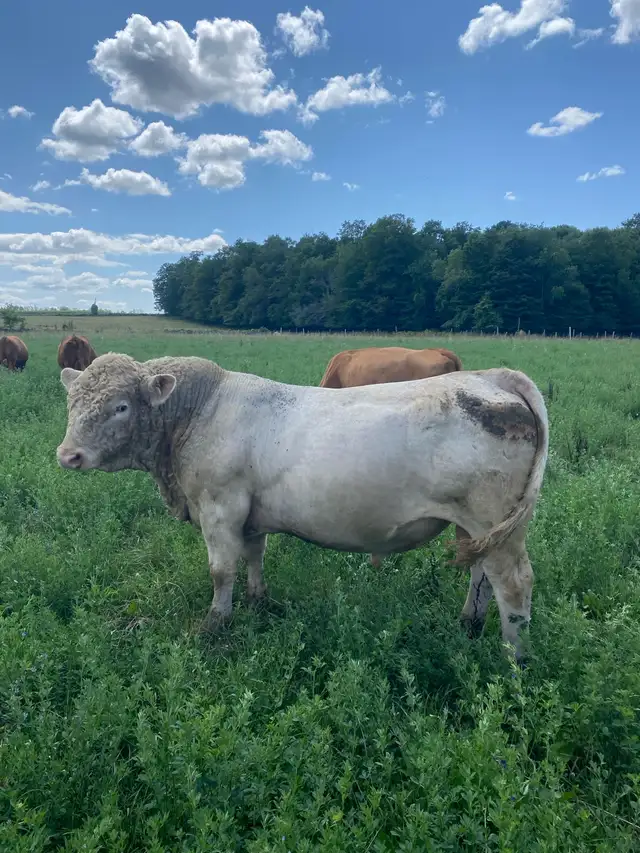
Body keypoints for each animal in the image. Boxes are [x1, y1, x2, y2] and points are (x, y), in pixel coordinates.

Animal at [57, 353, 548, 662]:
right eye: (72, 402)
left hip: (495, 521)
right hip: (479, 528)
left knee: (513, 584)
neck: (197, 413)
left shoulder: (219, 507)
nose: (68, 455)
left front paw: (215, 623)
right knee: (480, 573)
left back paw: (514, 660)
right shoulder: (250, 515)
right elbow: (254, 556)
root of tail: (492, 376)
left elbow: (221, 570)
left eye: (121, 406)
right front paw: (257, 601)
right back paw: (469, 624)